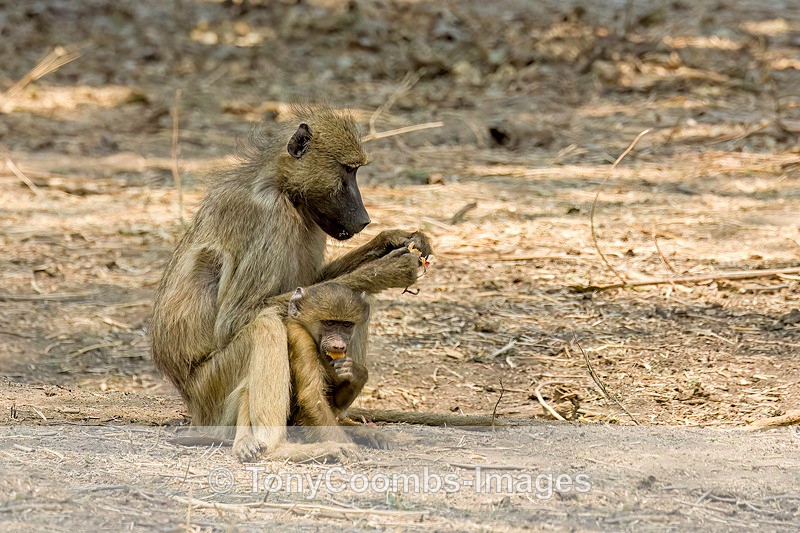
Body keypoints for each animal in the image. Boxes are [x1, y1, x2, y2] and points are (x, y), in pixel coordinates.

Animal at [150, 104, 432, 462]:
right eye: (348, 170)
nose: (364, 219)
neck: (281, 186)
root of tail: (192, 409)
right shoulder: (268, 216)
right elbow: (236, 319)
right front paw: (386, 270)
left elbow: (316, 284)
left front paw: (393, 240)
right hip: (211, 395)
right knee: (265, 325)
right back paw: (283, 447)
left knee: (357, 303)